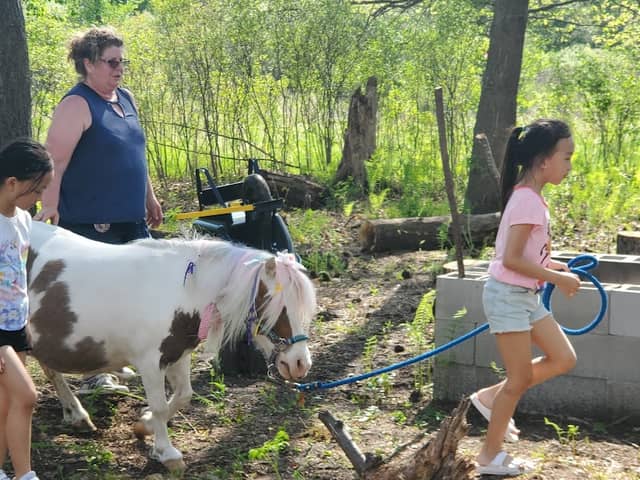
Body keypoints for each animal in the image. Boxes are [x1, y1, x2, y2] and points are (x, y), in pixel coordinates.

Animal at [26, 221, 316, 473]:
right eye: (278, 307)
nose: (300, 363)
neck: (181, 291)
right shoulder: (149, 363)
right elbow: (160, 405)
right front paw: (167, 452)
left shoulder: (178, 354)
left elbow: (183, 395)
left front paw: (145, 425)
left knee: (52, 371)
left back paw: (76, 415)